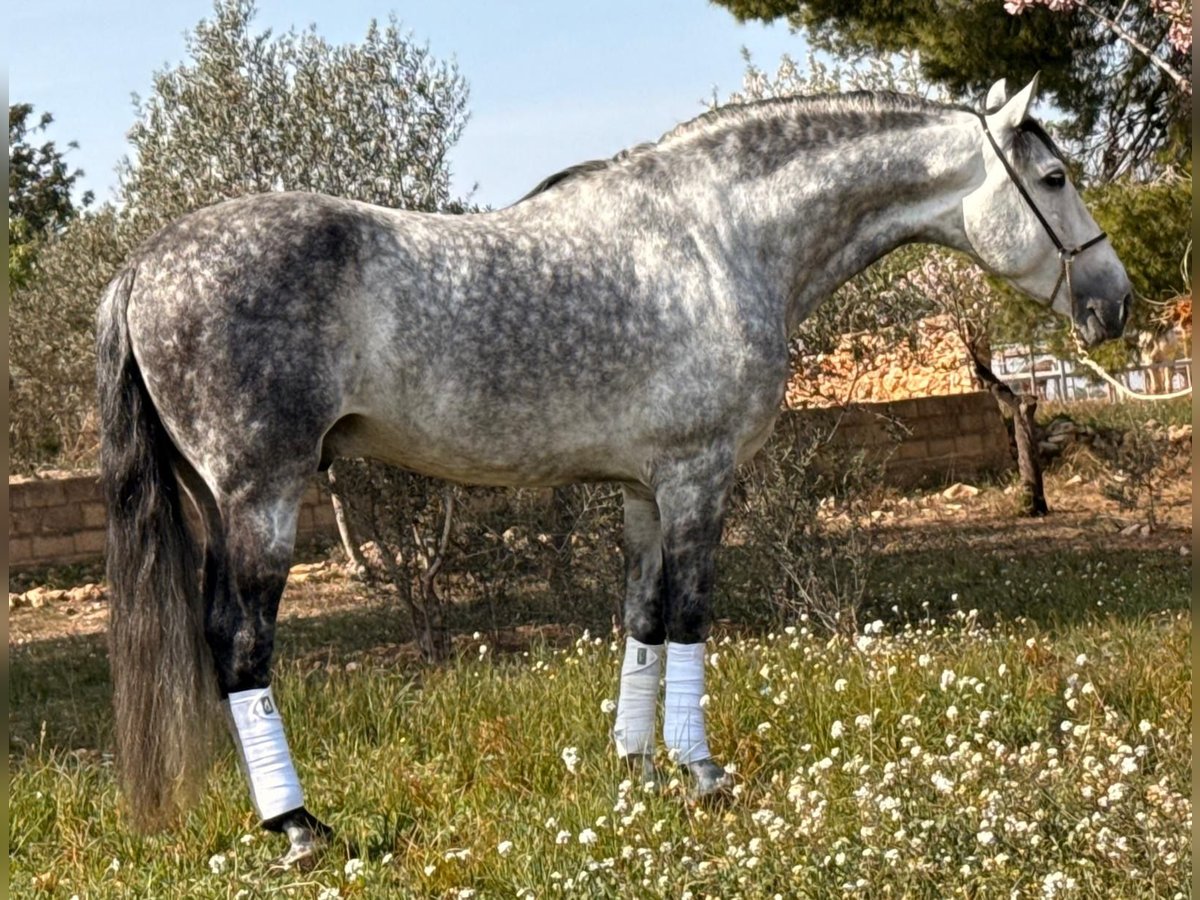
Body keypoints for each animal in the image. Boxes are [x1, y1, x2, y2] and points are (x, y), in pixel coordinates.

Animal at [98, 77, 1128, 868]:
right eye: (1054, 177)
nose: (1114, 303)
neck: (721, 239)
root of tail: (145, 264)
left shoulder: (642, 491)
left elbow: (639, 622)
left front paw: (635, 767)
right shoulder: (698, 481)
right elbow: (689, 619)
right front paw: (701, 773)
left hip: (218, 502)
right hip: (262, 498)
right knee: (240, 644)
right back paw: (299, 826)